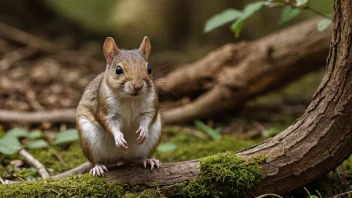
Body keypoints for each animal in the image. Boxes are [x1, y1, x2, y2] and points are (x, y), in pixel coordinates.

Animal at [51, 36, 162, 179]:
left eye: (149, 68)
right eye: (118, 70)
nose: (137, 86)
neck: (130, 99)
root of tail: (120, 157)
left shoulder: (150, 106)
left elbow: (147, 118)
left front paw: (143, 130)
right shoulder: (106, 109)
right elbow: (109, 123)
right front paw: (118, 137)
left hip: (152, 138)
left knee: (135, 160)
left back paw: (148, 160)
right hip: (89, 139)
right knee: (97, 161)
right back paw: (98, 167)